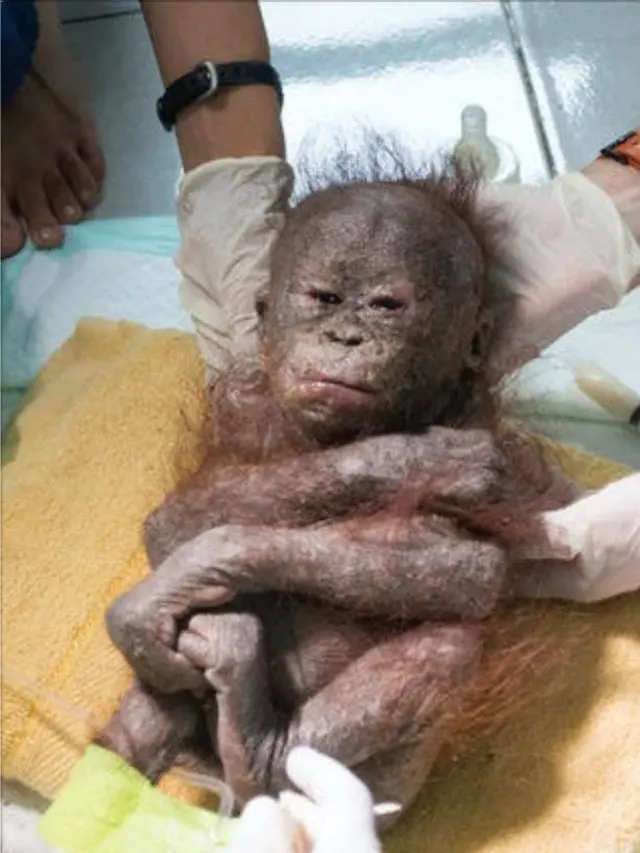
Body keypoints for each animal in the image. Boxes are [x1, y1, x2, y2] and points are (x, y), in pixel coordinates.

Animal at [99, 150, 578, 823]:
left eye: (385, 306)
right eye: (322, 297)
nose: (343, 338)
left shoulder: (481, 425)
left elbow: (467, 562)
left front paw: (211, 564)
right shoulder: (243, 406)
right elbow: (175, 519)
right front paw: (415, 458)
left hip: (379, 791)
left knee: (448, 642)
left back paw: (260, 745)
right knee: (153, 702)